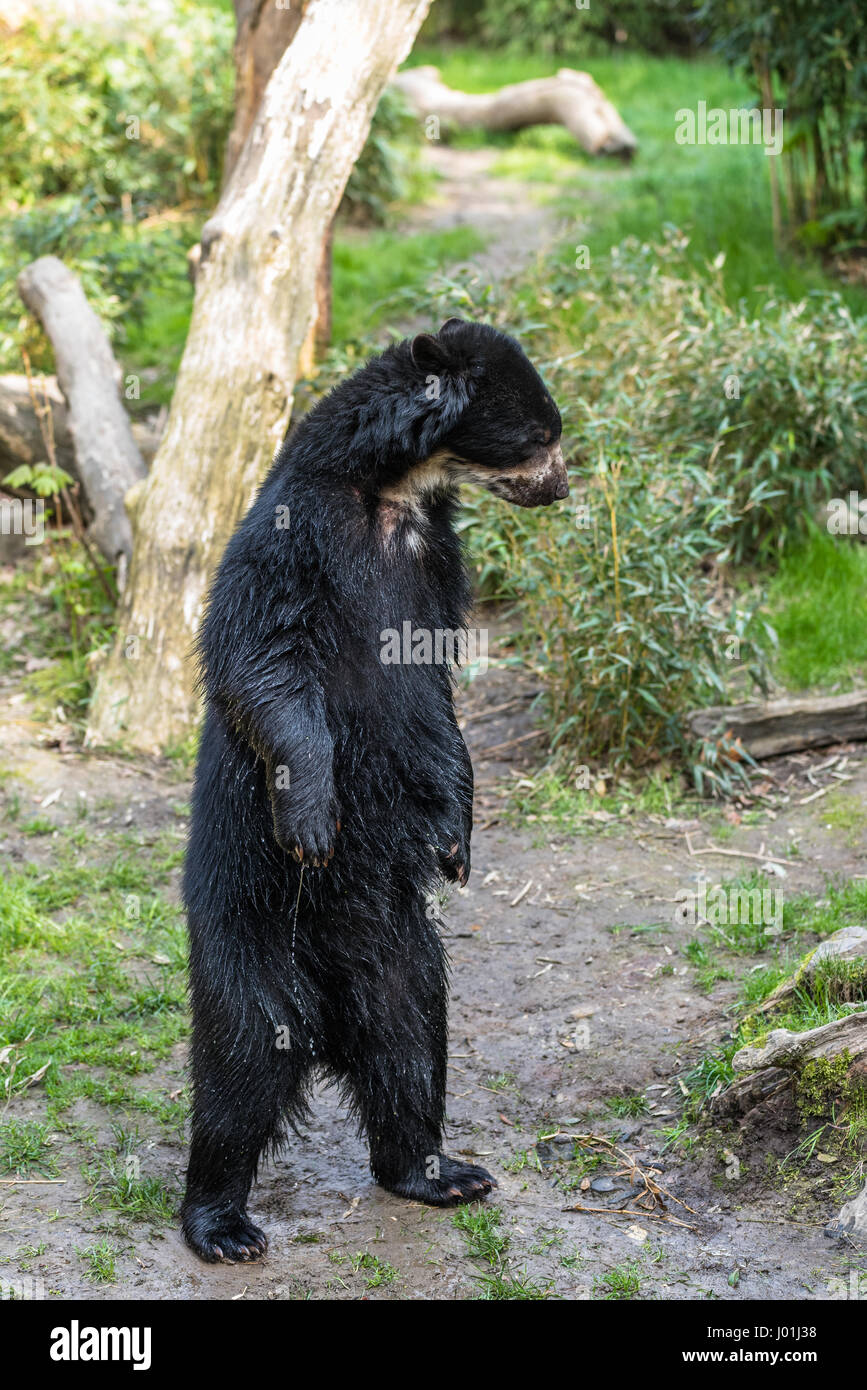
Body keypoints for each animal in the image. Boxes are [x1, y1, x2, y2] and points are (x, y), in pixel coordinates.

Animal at [180, 316, 566, 1263]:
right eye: (539, 436)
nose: (562, 485)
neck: (389, 497)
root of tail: (326, 1016)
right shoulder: (292, 541)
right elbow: (268, 666)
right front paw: (315, 823)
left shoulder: (432, 567)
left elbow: (430, 705)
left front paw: (457, 840)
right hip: (247, 931)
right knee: (240, 1067)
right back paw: (221, 1222)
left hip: (401, 955)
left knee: (411, 1045)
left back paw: (437, 1170)